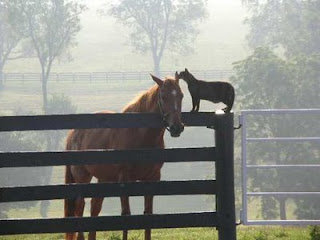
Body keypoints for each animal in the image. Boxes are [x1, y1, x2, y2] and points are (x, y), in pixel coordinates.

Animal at [64, 73, 184, 240]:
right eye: (164, 96)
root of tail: (73, 133)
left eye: (181, 95)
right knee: (80, 207)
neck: (139, 135)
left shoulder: (152, 178)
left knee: (95, 207)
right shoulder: (124, 180)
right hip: (82, 177)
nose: (176, 128)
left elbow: (148, 214)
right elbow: (126, 214)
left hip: (104, 179)